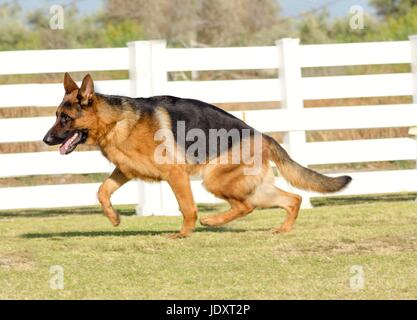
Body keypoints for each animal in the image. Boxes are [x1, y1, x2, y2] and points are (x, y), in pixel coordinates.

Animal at [43, 73, 352, 238]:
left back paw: (212, 222)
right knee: (292, 199)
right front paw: (114, 218)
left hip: (215, 180)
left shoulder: (175, 175)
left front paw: (182, 234)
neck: (114, 120)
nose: (45, 140)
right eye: (56, 116)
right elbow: (102, 191)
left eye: (65, 119)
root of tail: (262, 135)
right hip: (252, 186)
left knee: (246, 206)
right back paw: (282, 229)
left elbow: (187, 207)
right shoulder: (125, 171)